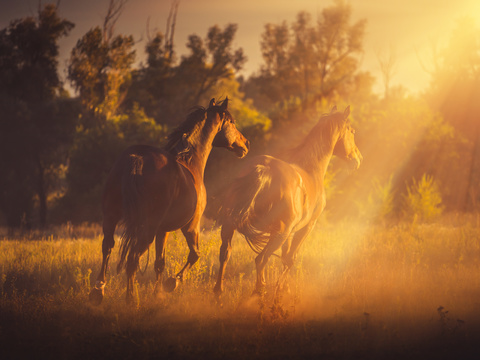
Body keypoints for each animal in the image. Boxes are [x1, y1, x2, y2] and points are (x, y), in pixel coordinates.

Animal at [88, 97, 251, 304]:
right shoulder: (191, 226)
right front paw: (171, 283)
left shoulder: (162, 230)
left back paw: (98, 291)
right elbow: (194, 255)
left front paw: (158, 293)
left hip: (111, 218)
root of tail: (136, 158)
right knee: (132, 259)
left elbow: (160, 262)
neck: (190, 161)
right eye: (232, 122)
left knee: (107, 248)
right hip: (146, 229)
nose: (246, 144)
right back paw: (131, 299)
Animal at [216, 106, 362, 298]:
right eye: (352, 131)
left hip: (230, 225)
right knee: (261, 259)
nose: (358, 159)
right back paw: (259, 292)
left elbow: (285, 257)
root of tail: (263, 169)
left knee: (225, 253)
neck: (311, 170)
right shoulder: (306, 227)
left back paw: (218, 293)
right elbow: (291, 259)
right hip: (278, 234)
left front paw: (283, 288)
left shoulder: (291, 231)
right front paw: (280, 290)